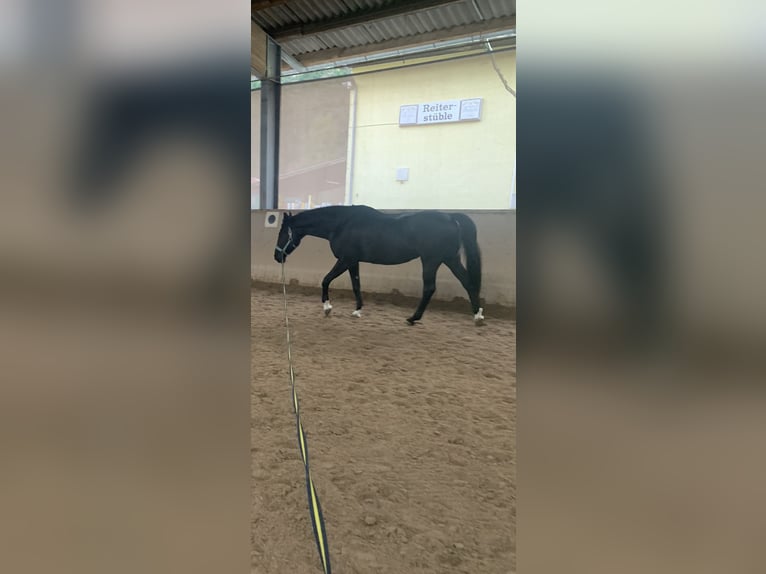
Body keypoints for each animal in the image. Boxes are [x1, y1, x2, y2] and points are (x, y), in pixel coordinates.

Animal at [273, 205, 484, 325]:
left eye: (282, 233)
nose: (277, 256)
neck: (342, 223)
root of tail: (450, 217)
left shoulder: (345, 259)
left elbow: (326, 280)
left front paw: (327, 307)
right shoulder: (353, 261)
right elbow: (356, 285)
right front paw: (357, 310)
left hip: (431, 261)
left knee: (430, 288)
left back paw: (413, 318)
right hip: (450, 259)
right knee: (468, 282)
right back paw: (478, 316)